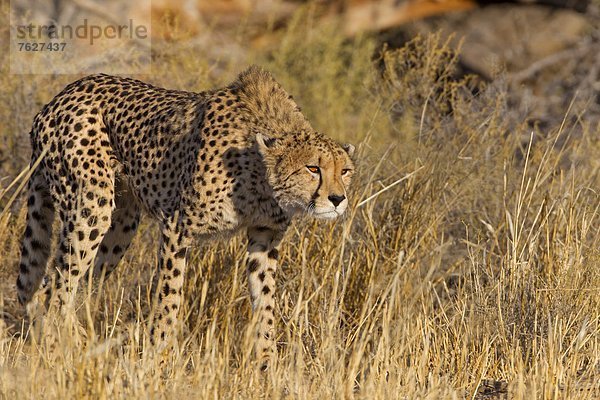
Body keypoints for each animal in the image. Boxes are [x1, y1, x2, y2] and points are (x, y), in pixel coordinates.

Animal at [16, 66, 354, 366]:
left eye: (345, 171)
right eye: (313, 168)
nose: (338, 199)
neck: (260, 175)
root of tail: (57, 99)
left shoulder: (264, 236)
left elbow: (266, 302)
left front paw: (267, 365)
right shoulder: (177, 226)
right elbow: (170, 298)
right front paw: (157, 359)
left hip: (121, 224)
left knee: (69, 286)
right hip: (92, 206)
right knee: (53, 288)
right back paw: (57, 353)